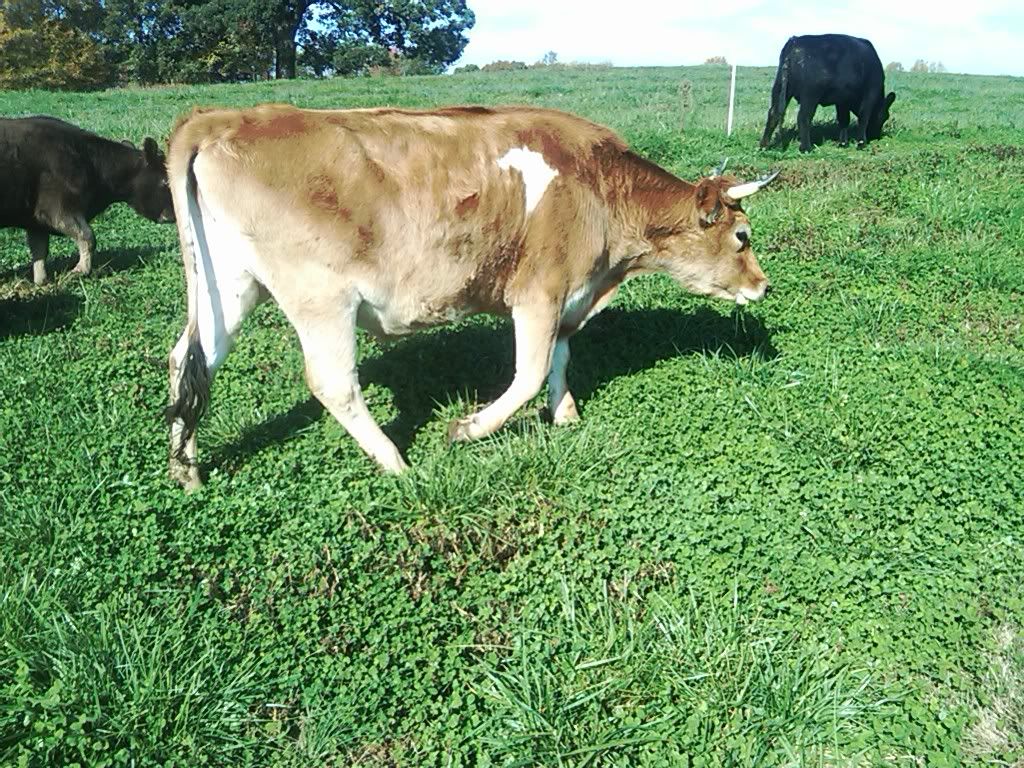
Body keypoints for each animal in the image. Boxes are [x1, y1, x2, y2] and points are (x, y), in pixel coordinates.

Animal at [0, 116, 175, 285]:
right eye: (166, 181)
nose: (173, 216)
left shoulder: (36, 220)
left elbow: (39, 251)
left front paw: (41, 282)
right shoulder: (57, 210)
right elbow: (88, 236)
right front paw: (80, 271)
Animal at [164, 104, 779, 489]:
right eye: (742, 236)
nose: (764, 285)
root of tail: (223, 118)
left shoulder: (570, 294)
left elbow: (561, 356)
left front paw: (566, 414)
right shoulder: (538, 290)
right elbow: (530, 372)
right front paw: (468, 428)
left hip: (231, 284)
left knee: (189, 361)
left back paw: (185, 469)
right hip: (321, 296)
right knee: (331, 382)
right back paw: (395, 462)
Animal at [759, 34, 896, 153]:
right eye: (885, 116)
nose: (876, 136)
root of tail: (795, 41)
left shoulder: (843, 100)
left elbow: (843, 119)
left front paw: (843, 143)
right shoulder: (870, 93)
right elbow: (863, 117)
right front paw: (861, 143)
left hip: (780, 87)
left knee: (773, 113)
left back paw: (763, 146)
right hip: (810, 94)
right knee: (803, 117)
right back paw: (806, 148)